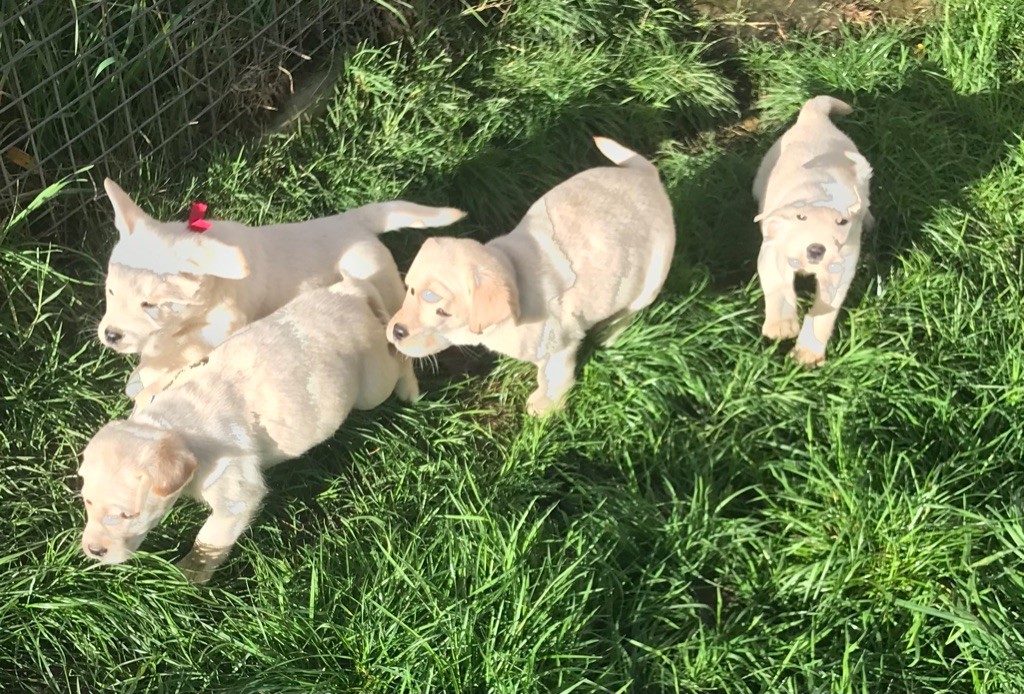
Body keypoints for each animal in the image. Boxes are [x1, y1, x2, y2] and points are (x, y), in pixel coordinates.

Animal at [77, 274, 417, 585]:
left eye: (127, 515)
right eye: (88, 502)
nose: (93, 551)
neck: (175, 426)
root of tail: (352, 294)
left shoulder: (236, 496)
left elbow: (210, 538)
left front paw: (190, 573)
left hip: (373, 386)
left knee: (398, 361)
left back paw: (409, 386)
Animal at [98, 179, 460, 405]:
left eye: (149, 304)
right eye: (110, 292)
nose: (110, 335)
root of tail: (354, 222)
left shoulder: (227, 322)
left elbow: (187, 349)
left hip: (386, 287)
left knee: (403, 349)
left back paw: (408, 388)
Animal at [387, 138, 675, 415]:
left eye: (443, 312)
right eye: (410, 290)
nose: (396, 331)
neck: (515, 273)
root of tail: (647, 175)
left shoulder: (560, 345)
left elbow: (552, 377)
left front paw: (545, 407)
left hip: (651, 280)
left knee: (628, 313)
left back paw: (608, 334)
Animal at [753, 97, 872, 372]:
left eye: (842, 222)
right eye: (800, 217)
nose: (817, 250)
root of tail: (813, 116)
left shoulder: (840, 269)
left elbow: (823, 313)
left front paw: (807, 354)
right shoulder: (772, 248)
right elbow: (778, 284)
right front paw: (781, 327)